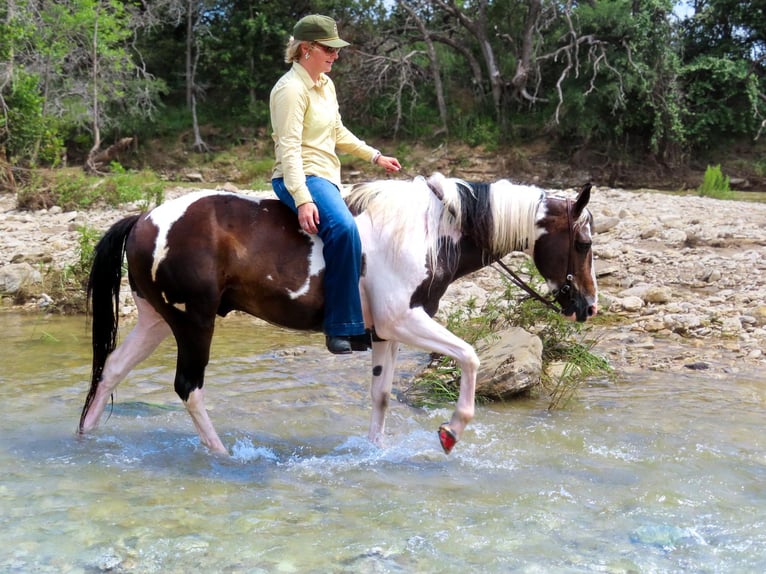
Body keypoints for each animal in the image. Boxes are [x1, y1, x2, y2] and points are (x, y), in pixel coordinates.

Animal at [78, 172, 597, 455]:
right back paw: (225, 455)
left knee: (111, 370)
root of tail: (144, 221)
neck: (430, 230)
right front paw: (451, 431)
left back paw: (86, 440)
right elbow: (469, 356)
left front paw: (375, 452)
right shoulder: (405, 320)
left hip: (156, 320)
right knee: (189, 388)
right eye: (582, 243)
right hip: (194, 322)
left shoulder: (387, 333)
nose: (588, 306)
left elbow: (381, 396)